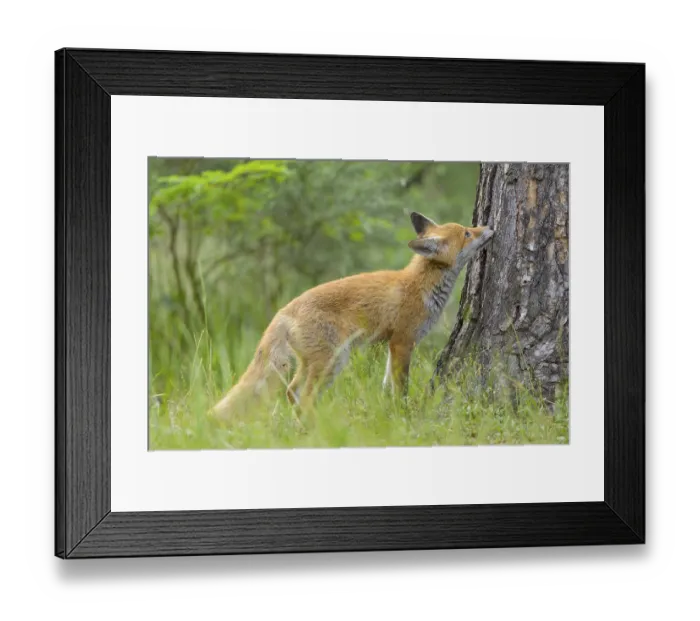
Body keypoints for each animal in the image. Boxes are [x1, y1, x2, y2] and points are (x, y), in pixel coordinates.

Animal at [212, 212, 494, 420]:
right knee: (305, 398)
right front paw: (403, 413)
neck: (420, 285)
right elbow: (401, 386)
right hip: (333, 361)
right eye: (468, 233)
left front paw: (389, 411)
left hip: (316, 363)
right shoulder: (403, 342)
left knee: (292, 392)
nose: (490, 227)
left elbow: (386, 385)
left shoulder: (392, 346)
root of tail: (284, 310)